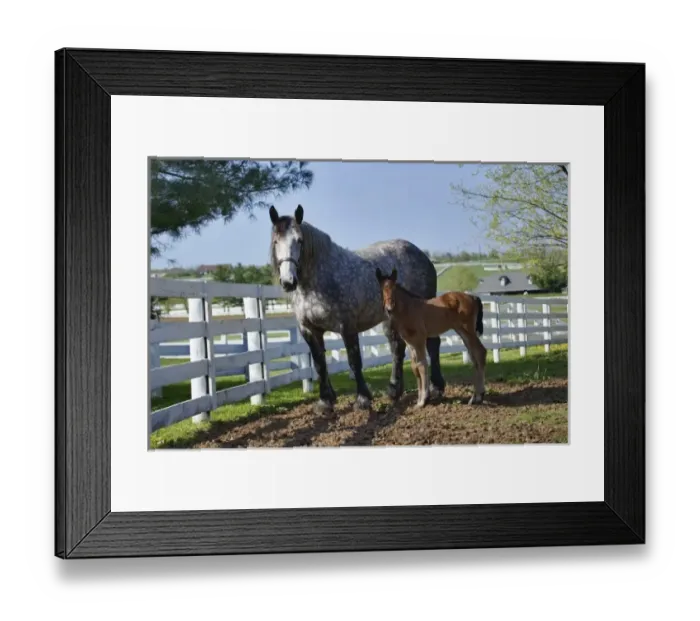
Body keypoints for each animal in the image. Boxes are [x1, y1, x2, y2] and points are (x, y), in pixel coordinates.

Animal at [268, 204, 446, 414]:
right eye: (276, 241)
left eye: (300, 240)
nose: (288, 281)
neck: (317, 280)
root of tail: (422, 256)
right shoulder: (310, 330)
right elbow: (319, 364)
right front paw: (325, 401)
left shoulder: (347, 326)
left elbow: (354, 361)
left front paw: (362, 399)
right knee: (397, 347)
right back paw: (394, 390)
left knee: (432, 344)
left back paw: (436, 387)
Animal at [376, 267, 487, 408]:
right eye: (381, 289)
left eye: (394, 288)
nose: (389, 308)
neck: (408, 309)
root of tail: (473, 297)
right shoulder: (410, 342)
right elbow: (414, 367)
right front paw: (419, 399)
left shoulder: (419, 339)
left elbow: (422, 365)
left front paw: (423, 400)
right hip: (463, 332)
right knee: (474, 356)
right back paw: (477, 396)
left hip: (468, 331)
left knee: (480, 352)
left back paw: (477, 396)